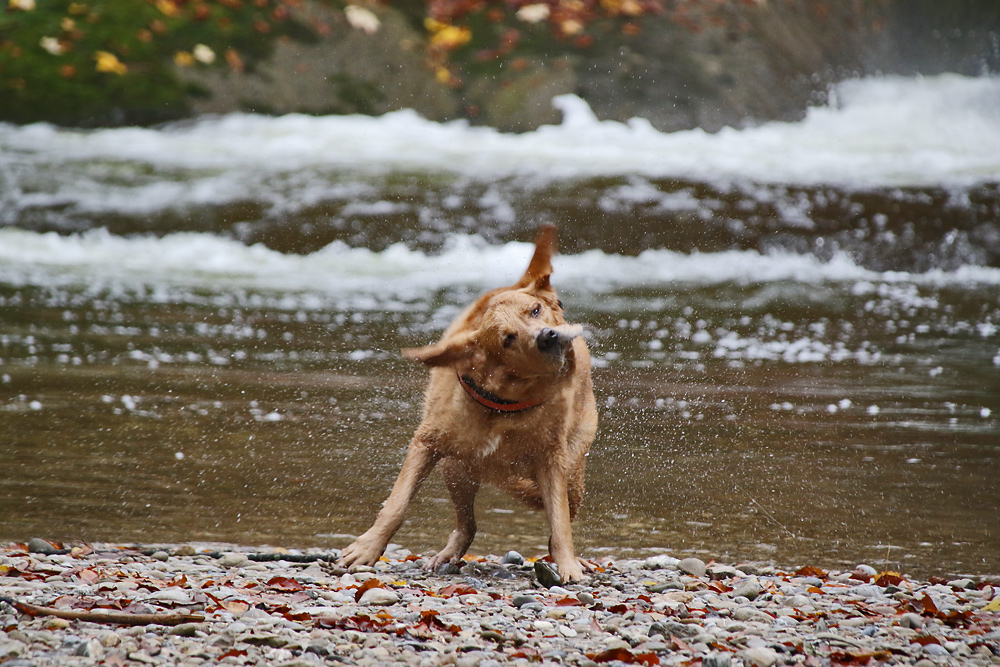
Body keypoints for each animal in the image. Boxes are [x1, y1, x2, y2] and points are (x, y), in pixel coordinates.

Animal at [340, 227, 596, 580]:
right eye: (508, 338)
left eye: (534, 311)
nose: (548, 336)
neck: (504, 406)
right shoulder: (426, 443)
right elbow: (396, 504)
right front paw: (368, 547)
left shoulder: (551, 461)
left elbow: (559, 523)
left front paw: (568, 564)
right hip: (457, 467)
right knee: (467, 524)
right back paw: (449, 552)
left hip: (572, 470)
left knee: (563, 511)